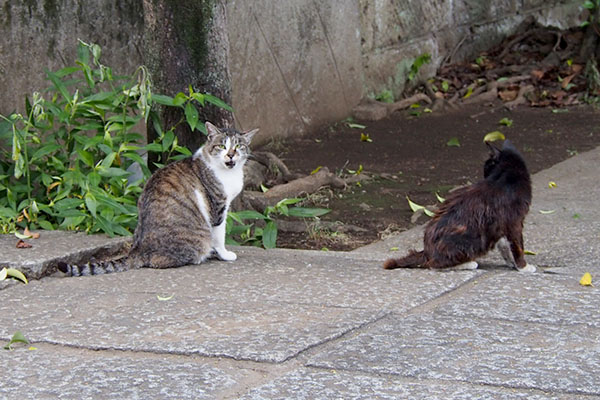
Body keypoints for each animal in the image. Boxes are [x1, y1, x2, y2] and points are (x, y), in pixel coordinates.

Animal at [58, 122, 258, 276]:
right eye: (222, 146)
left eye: (238, 146)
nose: (230, 154)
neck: (228, 172)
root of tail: (137, 250)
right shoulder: (217, 207)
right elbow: (220, 235)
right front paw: (225, 255)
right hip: (197, 237)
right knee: (159, 261)